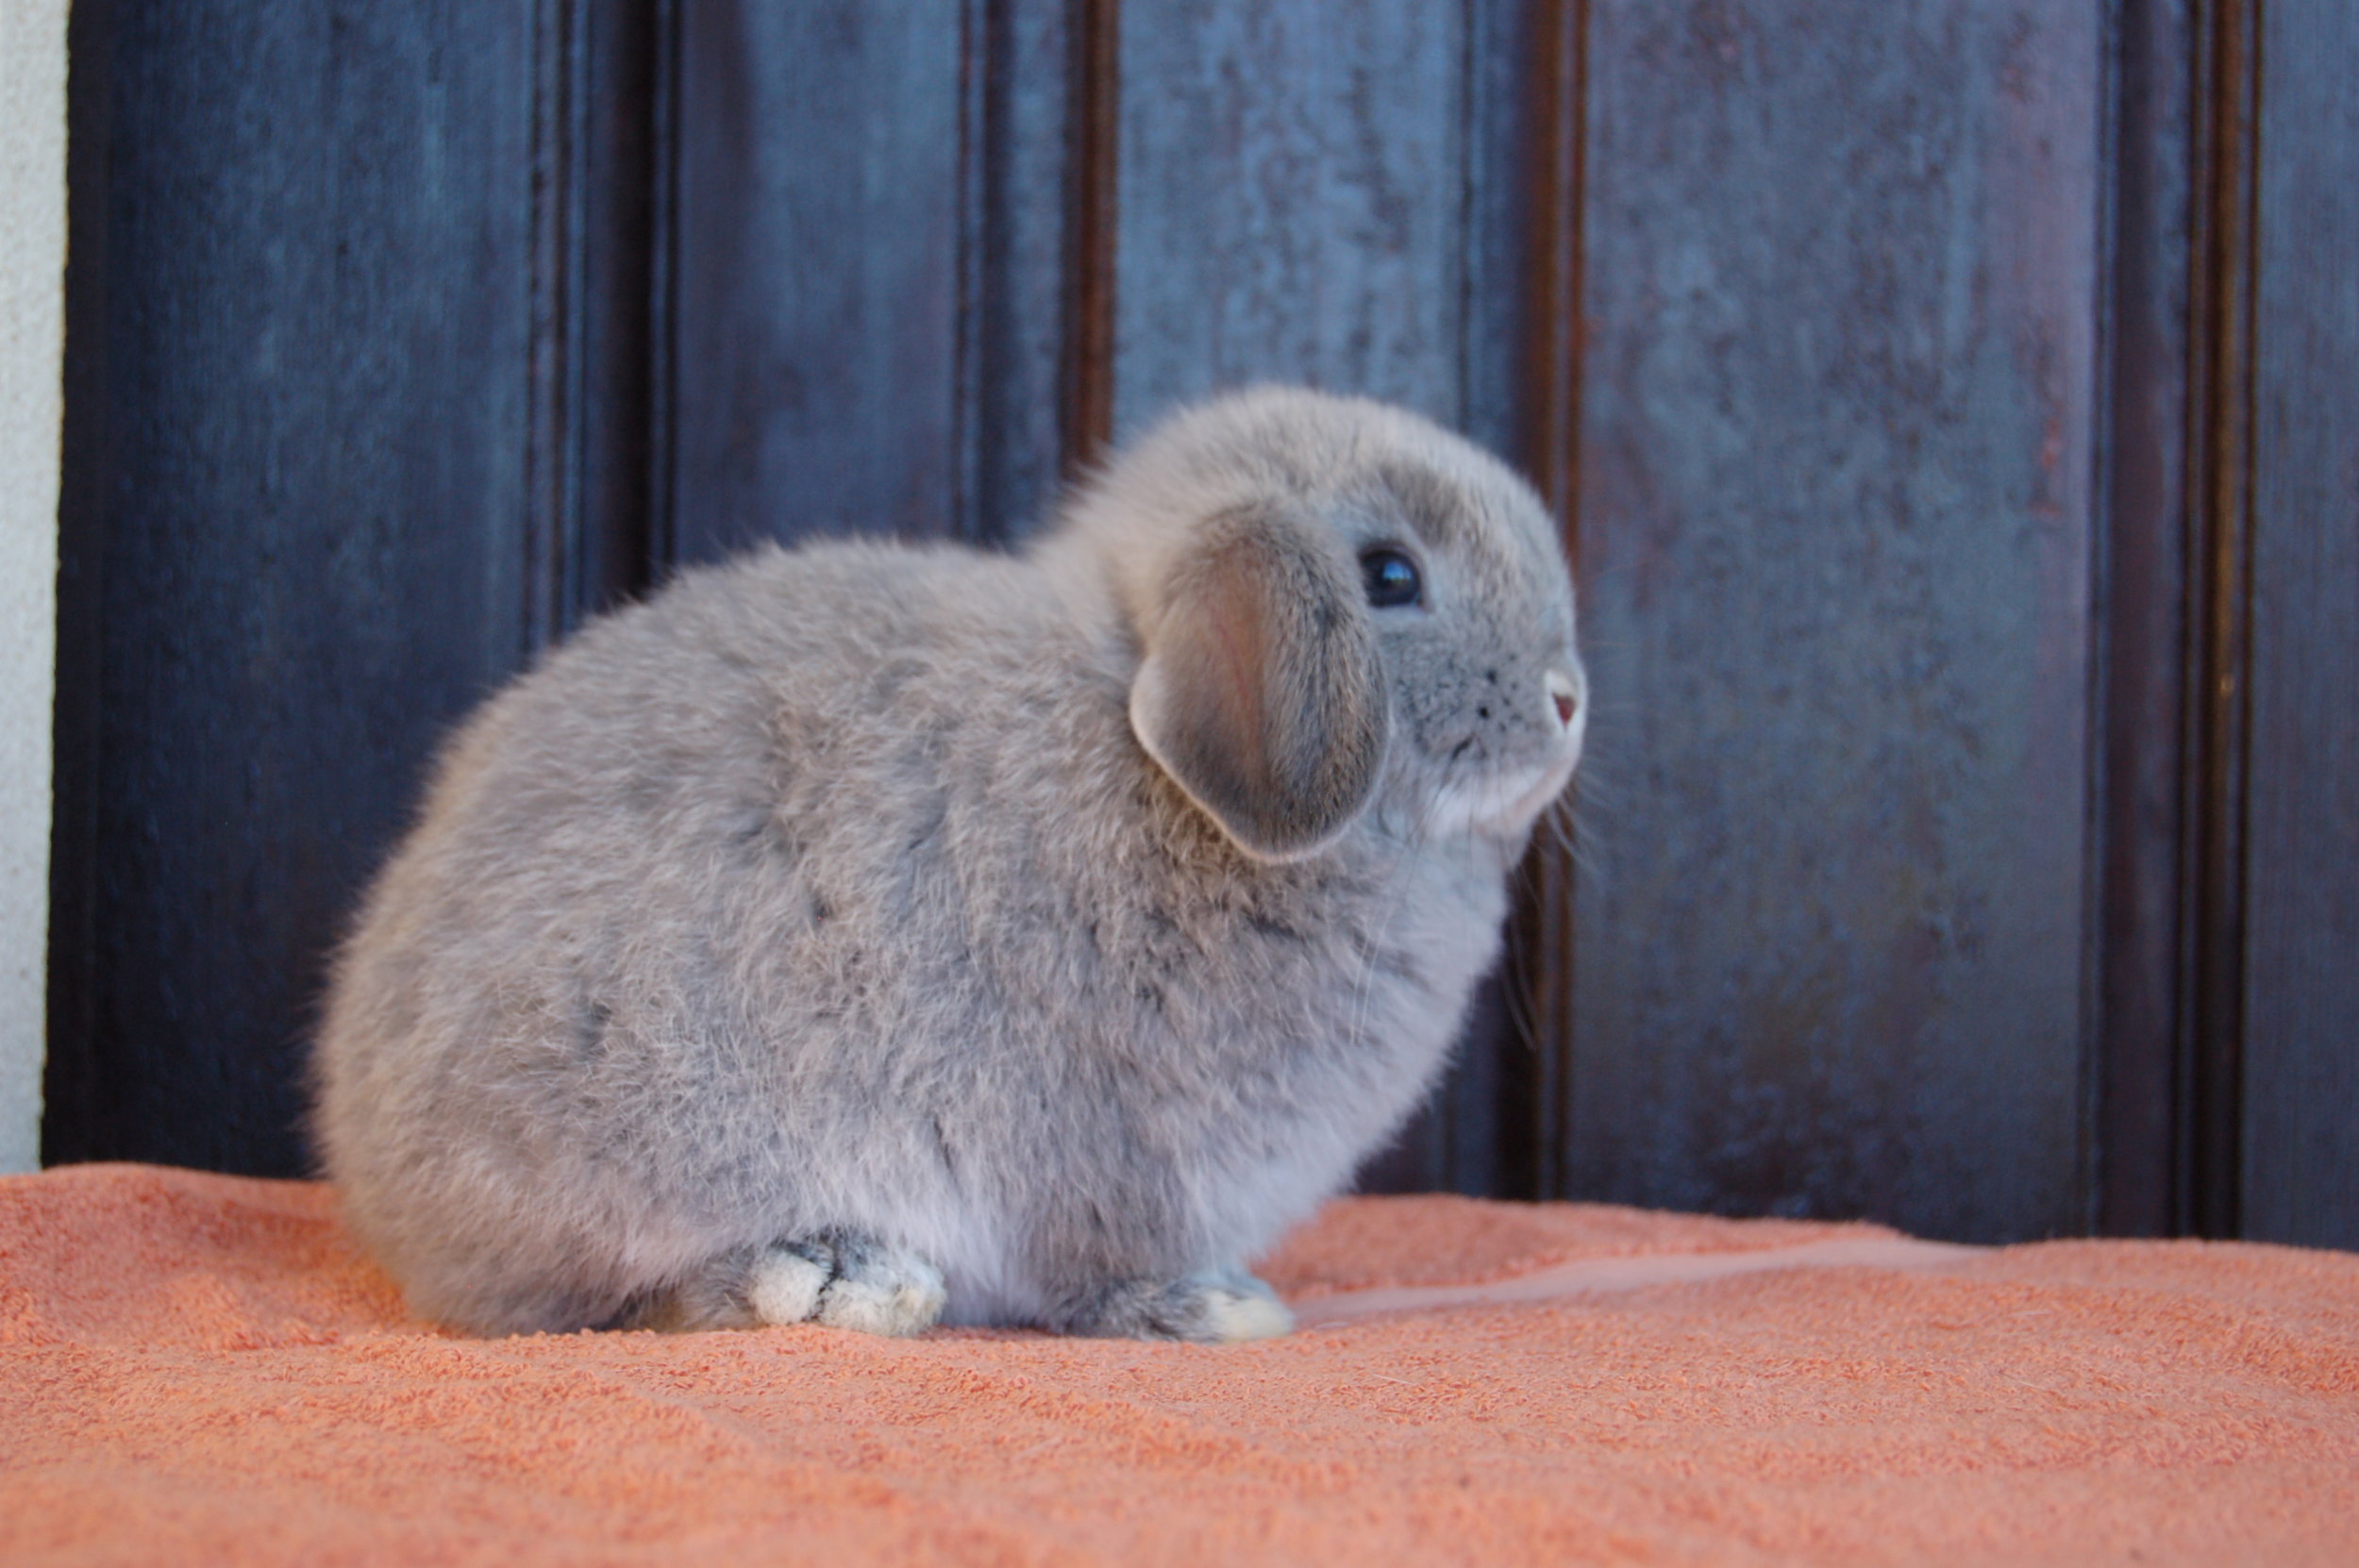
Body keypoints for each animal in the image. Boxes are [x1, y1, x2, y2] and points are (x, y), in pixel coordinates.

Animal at [313, 384, 1595, 1339]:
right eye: (1390, 576)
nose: (1569, 701)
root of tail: (367, 1163)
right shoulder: (1113, 1148)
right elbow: (1106, 1270)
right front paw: (1219, 1310)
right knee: (611, 1307)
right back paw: (833, 1280)